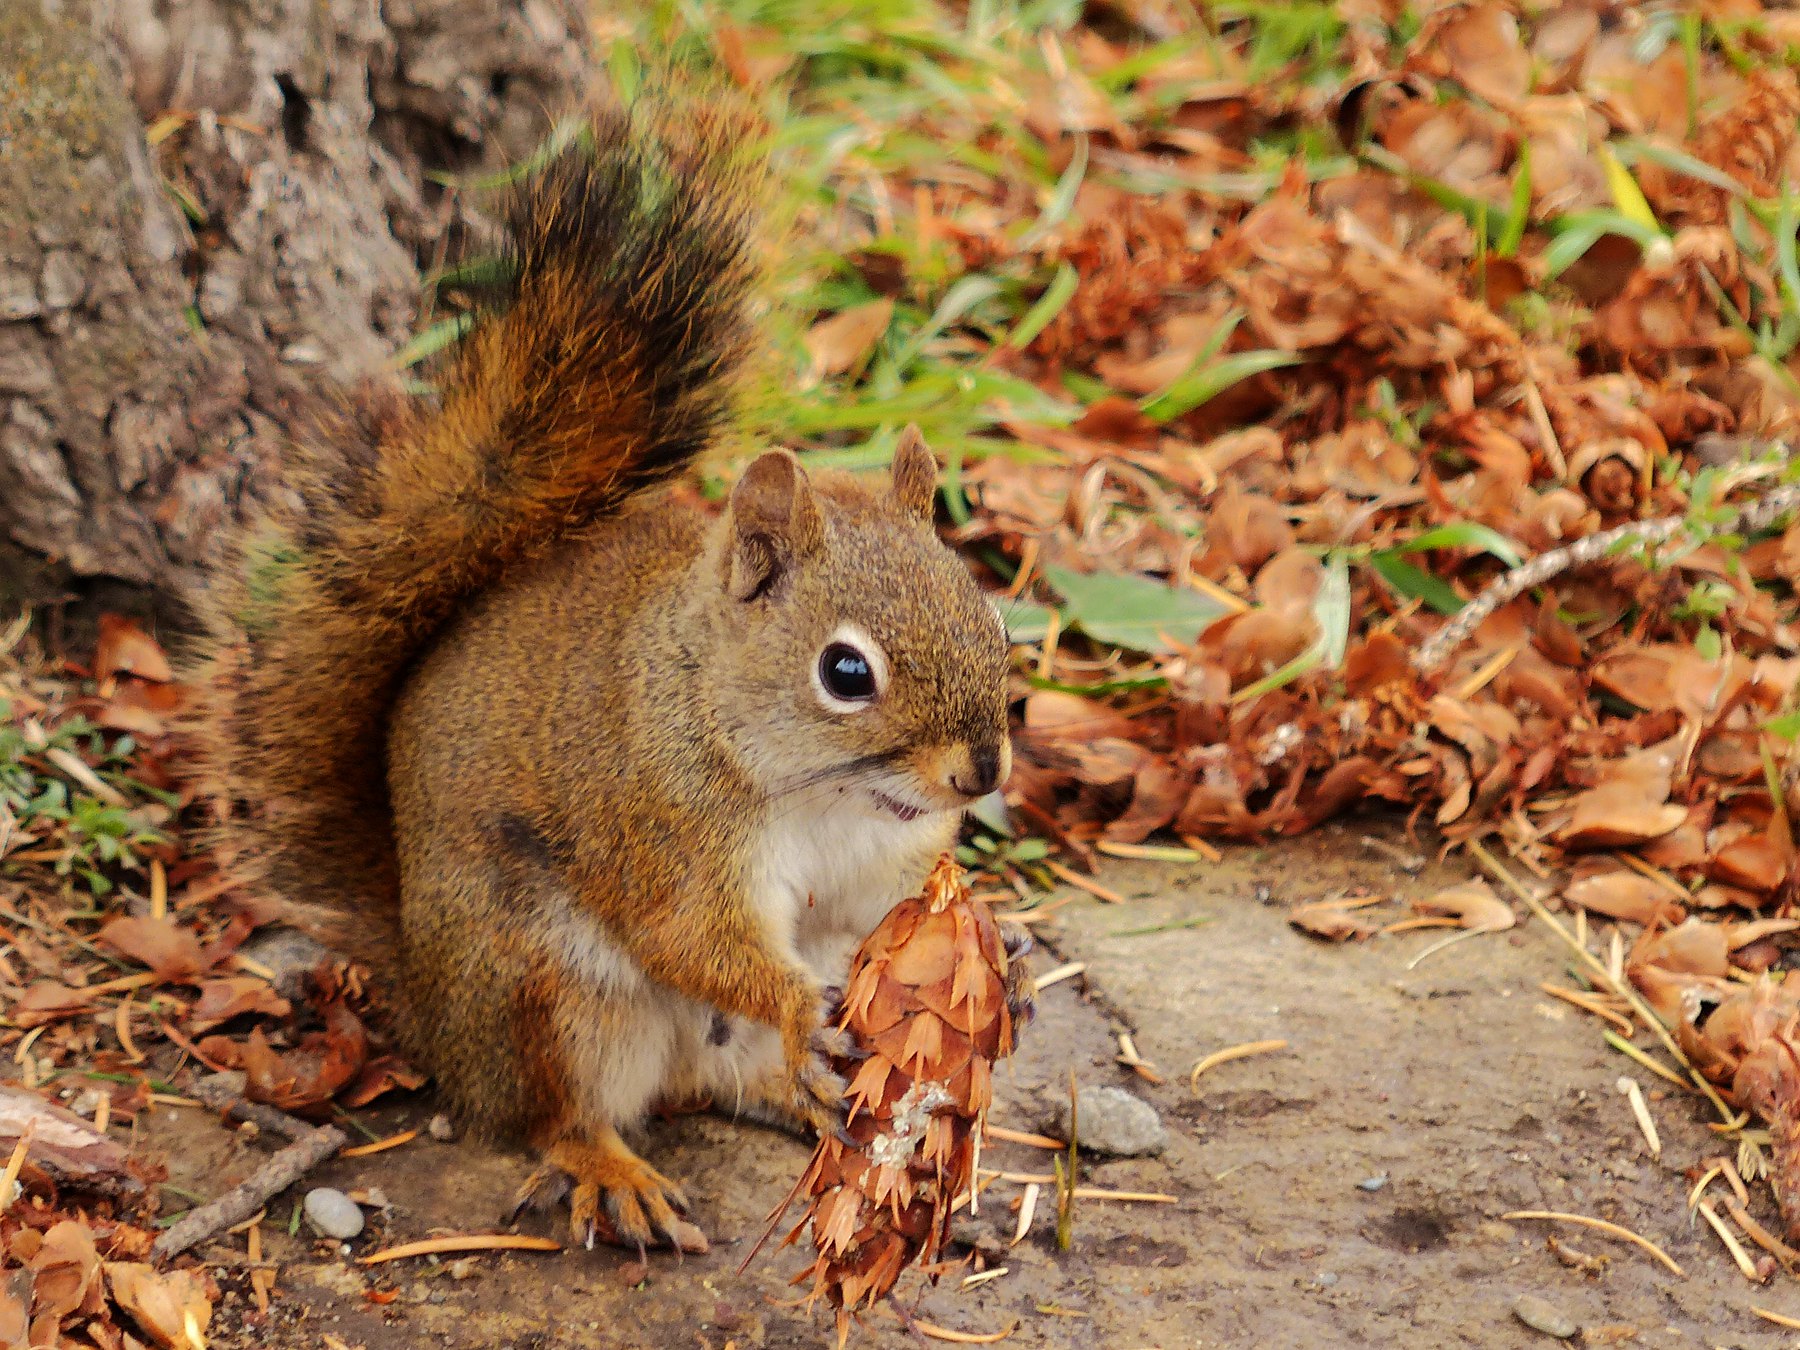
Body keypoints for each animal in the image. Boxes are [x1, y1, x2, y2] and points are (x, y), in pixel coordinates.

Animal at [193, 97, 1029, 1260]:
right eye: (845, 671)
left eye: (984, 607)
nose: (982, 773)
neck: (819, 793)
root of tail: (434, 1009)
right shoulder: (661, 833)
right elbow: (696, 940)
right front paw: (802, 1001)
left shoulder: (876, 871)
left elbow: (887, 921)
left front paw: (993, 960)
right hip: (545, 988)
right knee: (559, 1112)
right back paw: (618, 1165)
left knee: (710, 1081)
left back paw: (798, 1094)